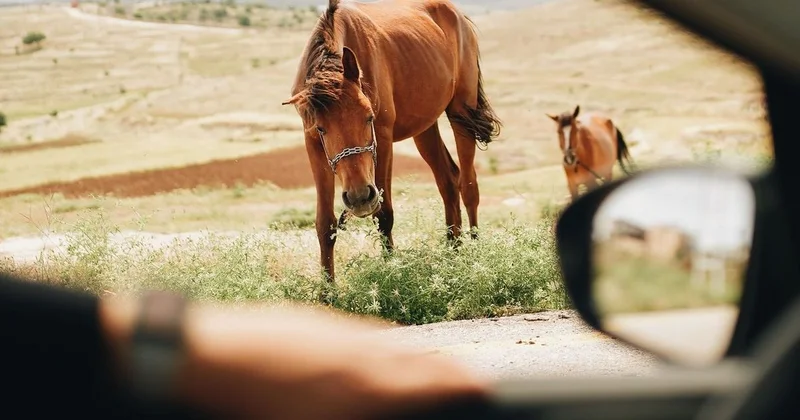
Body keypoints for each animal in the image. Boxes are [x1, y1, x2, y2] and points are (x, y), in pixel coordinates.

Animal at [282, 0, 502, 282]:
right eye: (321, 128)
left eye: (369, 118)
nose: (359, 197)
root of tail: (457, 15)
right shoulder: (312, 144)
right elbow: (325, 223)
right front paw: (327, 289)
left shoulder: (384, 139)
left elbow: (384, 214)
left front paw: (391, 273)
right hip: (425, 128)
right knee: (448, 181)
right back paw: (453, 252)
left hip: (461, 113)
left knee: (468, 185)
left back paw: (474, 255)